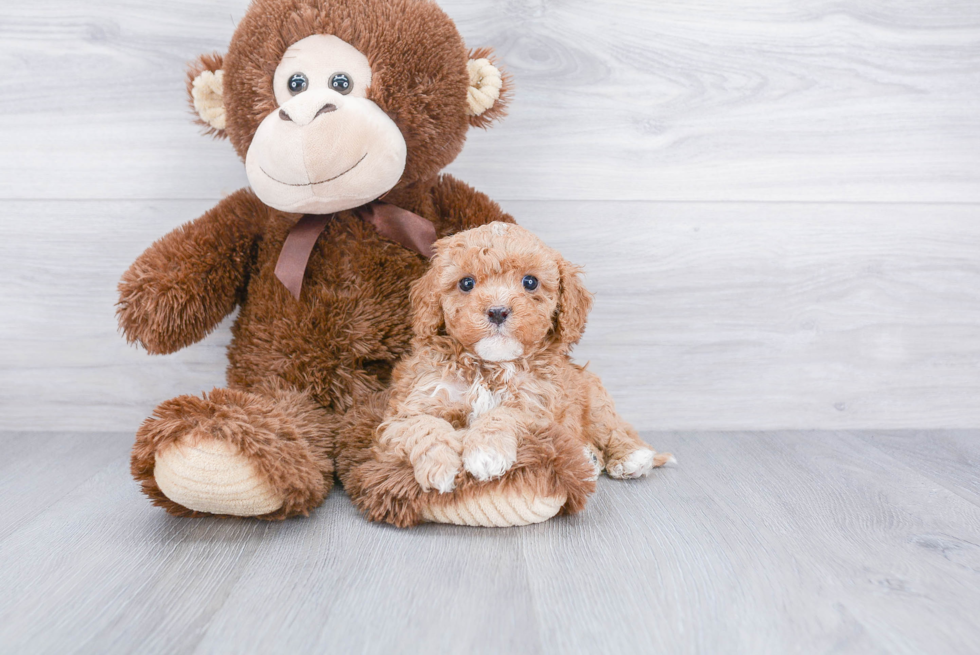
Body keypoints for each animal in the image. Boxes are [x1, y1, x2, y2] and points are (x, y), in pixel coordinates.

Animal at [372, 223, 668, 500]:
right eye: (466, 283)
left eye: (530, 282)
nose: (498, 311)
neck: (491, 366)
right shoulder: (412, 406)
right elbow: (425, 425)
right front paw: (440, 465)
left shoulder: (537, 408)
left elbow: (504, 414)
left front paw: (486, 451)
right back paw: (589, 458)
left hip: (595, 400)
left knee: (615, 430)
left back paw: (630, 458)